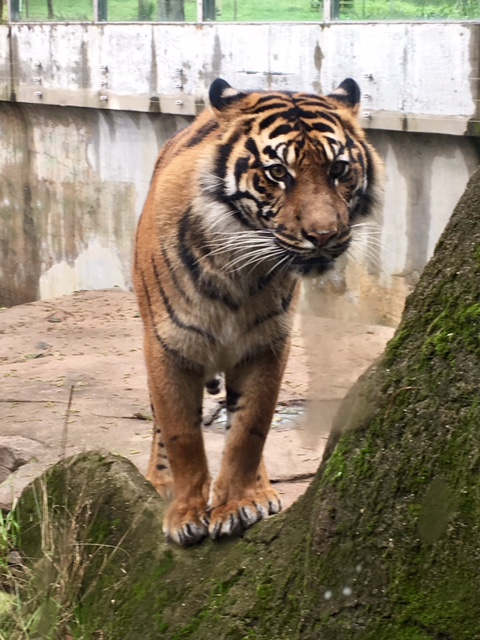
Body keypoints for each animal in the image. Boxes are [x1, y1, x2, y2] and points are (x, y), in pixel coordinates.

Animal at [133, 77, 382, 546]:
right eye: (277, 173)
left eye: (339, 170)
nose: (324, 236)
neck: (239, 269)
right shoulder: (169, 345)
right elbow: (180, 432)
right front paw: (185, 512)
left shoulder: (265, 345)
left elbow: (250, 430)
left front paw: (239, 503)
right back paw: (160, 481)